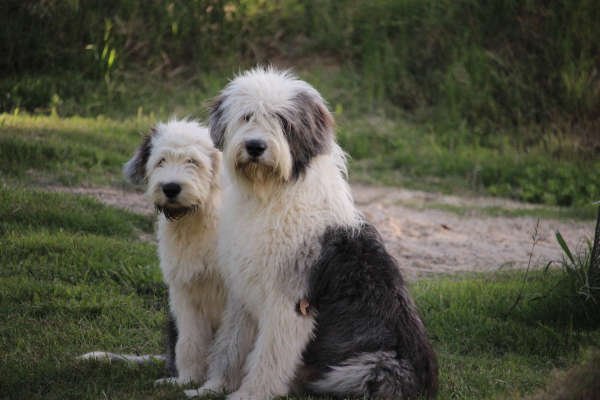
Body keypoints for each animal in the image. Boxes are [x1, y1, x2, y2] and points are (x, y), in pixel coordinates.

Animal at [79, 119, 227, 384]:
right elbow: (189, 342)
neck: (197, 220)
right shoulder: (184, 292)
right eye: (161, 161)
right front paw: (186, 382)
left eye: (193, 161)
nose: (170, 188)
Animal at [185, 69, 438, 400]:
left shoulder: (290, 302)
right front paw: (213, 387)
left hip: (371, 368)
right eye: (247, 116)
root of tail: (428, 382)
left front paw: (251, 393)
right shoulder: (242, 290)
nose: (255, 147)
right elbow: (231, 343)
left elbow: (269, 355)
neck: (271, 195)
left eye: (282, 120)